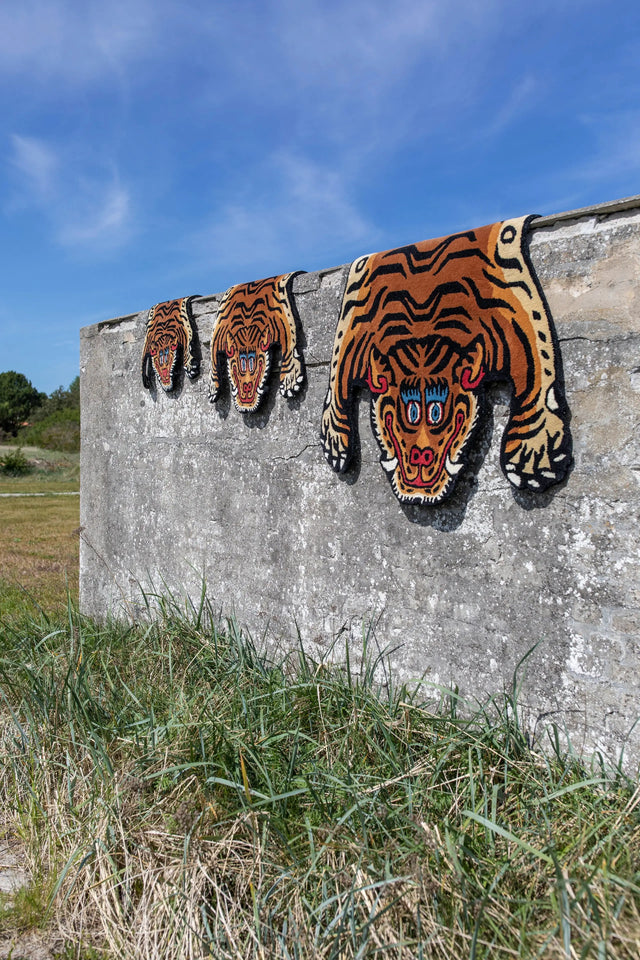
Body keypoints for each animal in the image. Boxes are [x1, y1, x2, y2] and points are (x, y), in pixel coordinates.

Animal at [209, 272, 305, 413]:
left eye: (254, 363)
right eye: (241, 364)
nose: (247, 387)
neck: (247, 327)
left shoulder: (285, 318)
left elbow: (290, 342)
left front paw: (290, 379)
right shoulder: (217, 331)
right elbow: (212, 357)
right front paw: (213, 387)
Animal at [320, 216, 572, 505]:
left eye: (436, 413)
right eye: (411, 412)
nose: (421, 455)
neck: (423, 329)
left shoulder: (518, 314)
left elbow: (540, 367)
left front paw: (532, 452)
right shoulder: (353, 322)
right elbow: (336, 377)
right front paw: (335, 439)